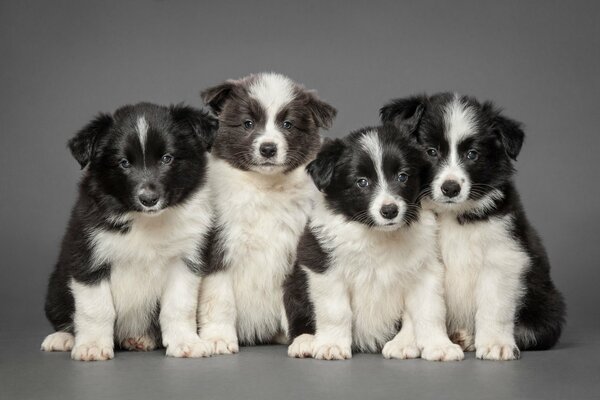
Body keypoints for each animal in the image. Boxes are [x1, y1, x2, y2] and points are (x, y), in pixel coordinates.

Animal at [42, 102, 220, 360]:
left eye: (167, 158)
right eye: (124, 163)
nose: (149, 199)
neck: (145, 221)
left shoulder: (185, 259)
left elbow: (179, 306)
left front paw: (186, 342)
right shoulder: (88, 257)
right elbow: (96, 308)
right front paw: (92, 346)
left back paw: (140, 339)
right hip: (55, 289)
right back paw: (63, 338)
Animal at [198, 72, 336, 354]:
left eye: (288, 124)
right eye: (248, 123)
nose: (268, 149)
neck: (265, 188)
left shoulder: (298, 249)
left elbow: (299, 297)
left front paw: (305, 338)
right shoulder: (218, 247)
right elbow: (219, 298)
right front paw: (218, 337)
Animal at [284, 125, 462, 362]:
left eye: (402, 176)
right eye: (362, 182)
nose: (390, 210)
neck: (377, 234)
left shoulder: (426, 269)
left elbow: (429, 311)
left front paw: (439, 346)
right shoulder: (322, 266)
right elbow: (336, 311)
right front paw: (332, 345)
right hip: (293, 282)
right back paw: (305, 341)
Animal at [382, 93, 564, 360]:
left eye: (472, 154)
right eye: (431, 151)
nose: (450, 188)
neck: (450, 215)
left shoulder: (502, 256)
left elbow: (493, 306)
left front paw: (496, 344)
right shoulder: (417, 261)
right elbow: (419, 307)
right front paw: (405, 341)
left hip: (547, 305)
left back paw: (470, 338)